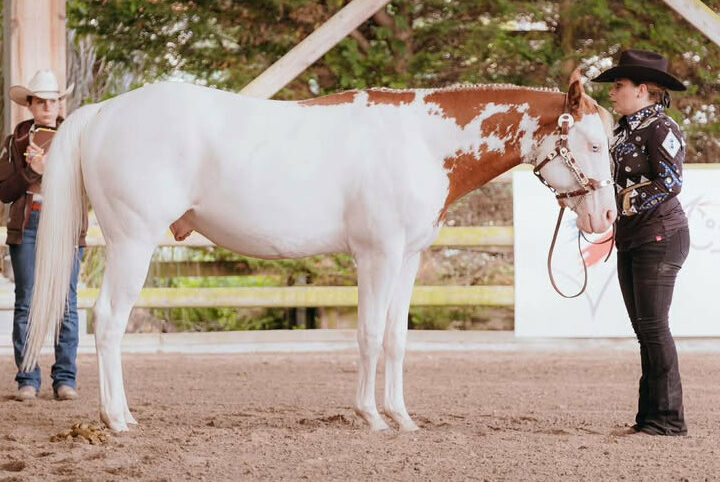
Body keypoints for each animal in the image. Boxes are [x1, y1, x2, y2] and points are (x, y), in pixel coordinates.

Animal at [22, 68, 616, 432]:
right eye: (591, 144)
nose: (607, 218)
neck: (419, 143)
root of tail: (103, 112)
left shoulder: (407, 258)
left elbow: (397, 340)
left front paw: (402, 417)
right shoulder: (376, 255)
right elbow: (369, 336)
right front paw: (370, 417)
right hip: (133, 243)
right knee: (109, 321)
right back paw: (116, 419)